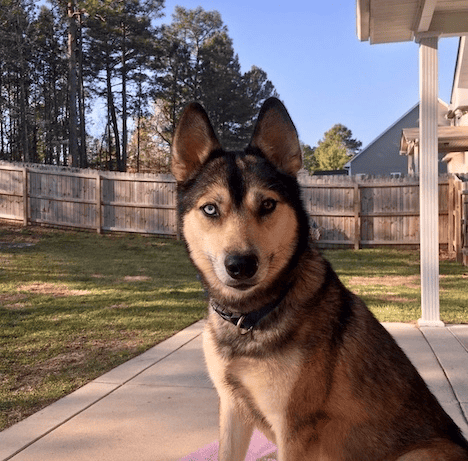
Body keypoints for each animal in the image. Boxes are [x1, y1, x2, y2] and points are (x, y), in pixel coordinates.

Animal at [171, 98, 468, 460]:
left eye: (267, 204)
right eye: (211, 209)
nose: (241, 265)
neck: (252, 315)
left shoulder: (293, 430)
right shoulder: (232, 410)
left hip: (418, 454)